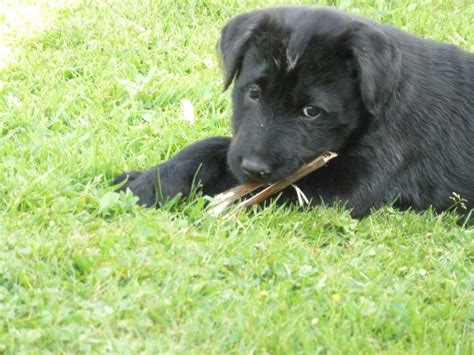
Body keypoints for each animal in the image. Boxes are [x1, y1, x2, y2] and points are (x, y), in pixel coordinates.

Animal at [115, 6, 474, 218]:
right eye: (253, 93)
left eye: (311, 111)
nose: (254, 166)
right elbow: (212, 146)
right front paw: (148, 180)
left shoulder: (347, 186)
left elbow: (258, 186)